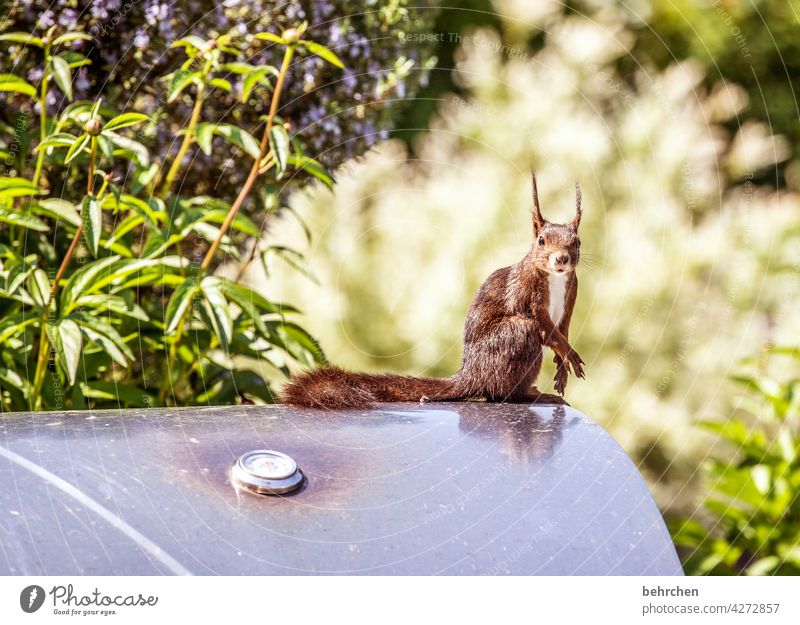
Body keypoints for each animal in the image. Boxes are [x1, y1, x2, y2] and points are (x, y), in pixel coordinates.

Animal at [280, 172, 580, 410]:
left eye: (577, 241)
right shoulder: (527, 292)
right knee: (501, 391)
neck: (554, 279)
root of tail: (470, 374)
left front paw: (562, 367)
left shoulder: (571, 295)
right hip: (515, 335)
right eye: (541, 240)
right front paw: (569, 355)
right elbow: (544, 327)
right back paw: (532, 395)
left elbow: (562, 329)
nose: (561, 259)